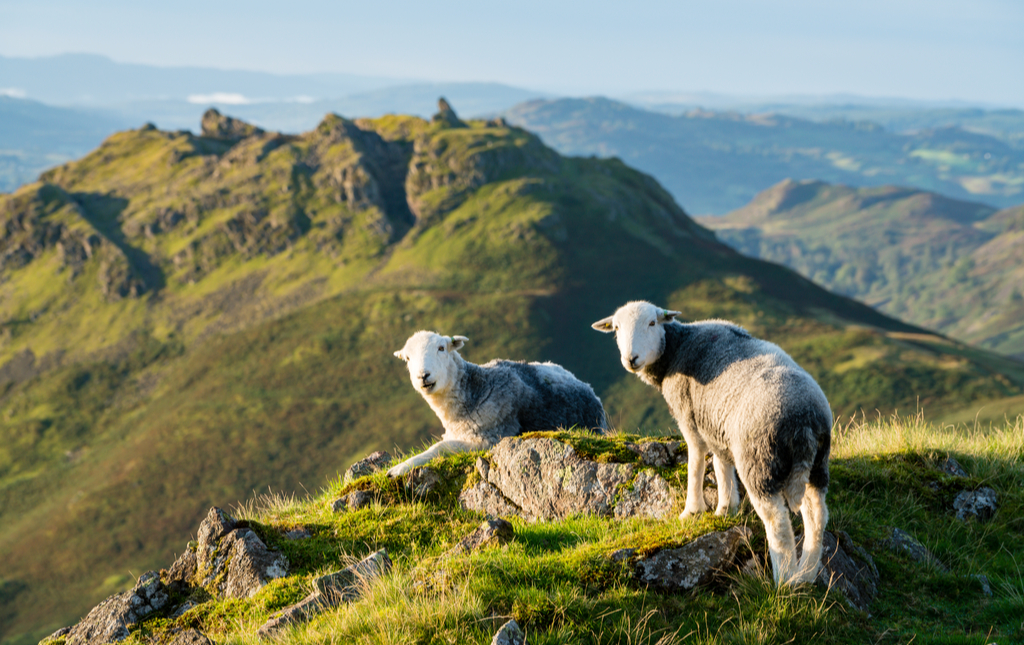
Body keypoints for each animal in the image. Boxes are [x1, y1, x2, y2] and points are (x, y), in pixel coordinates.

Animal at [387, 333, 602, 481]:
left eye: (441, 348)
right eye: (407, 358)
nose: (423, 376)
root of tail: (587, 387)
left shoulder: (490, 438)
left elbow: (440, 447)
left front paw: (399, 468)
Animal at [593, 303, 831, 585]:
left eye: (652, 323)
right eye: (617, 328)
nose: (631, 359)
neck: (676, 349)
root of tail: (803, 419)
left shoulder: (689, 417)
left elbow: (695, 463)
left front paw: (692, 510)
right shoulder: (717, 424)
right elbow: (721, 464)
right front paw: (726, 508)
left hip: (758, 459)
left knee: (777, 522)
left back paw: (783, 580)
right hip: (817, 463)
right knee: (817, 514)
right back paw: (806, 573)